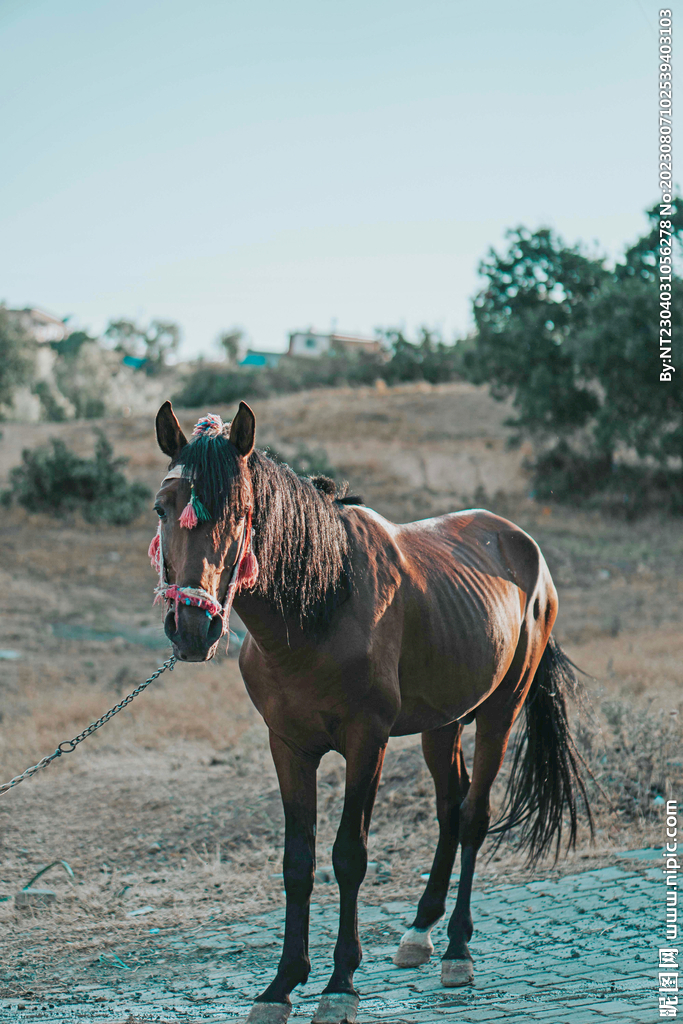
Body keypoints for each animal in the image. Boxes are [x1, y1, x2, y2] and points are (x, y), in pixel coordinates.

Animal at [152, 399, 589, 1024]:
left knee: (474, 817)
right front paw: (280, 986)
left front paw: (339, 985)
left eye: (240, 512)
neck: (320, 605)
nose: (192, 628)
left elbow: (348, 856)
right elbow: (298, 862)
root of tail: (524, 548)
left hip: (499, 712)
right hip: (442, 723)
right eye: (162, 508)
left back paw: (457, 949)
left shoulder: (367, 743)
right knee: (450, 809)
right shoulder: (288, 746)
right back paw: (419, 932)